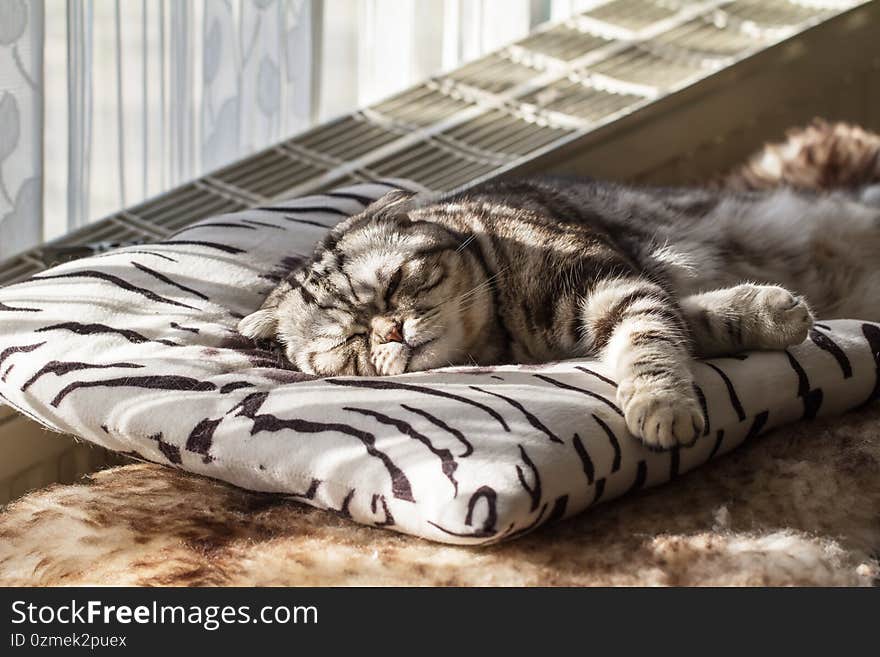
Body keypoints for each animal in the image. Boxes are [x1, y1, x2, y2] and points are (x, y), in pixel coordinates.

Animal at [239, 177, 880, 448]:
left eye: (395, 283)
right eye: (346, 344)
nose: (391, 330)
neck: (508, 340)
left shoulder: (614, 283)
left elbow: (650, 345)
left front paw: (660, 406)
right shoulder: (631, 293)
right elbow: (682, 324)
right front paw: (775, 308)